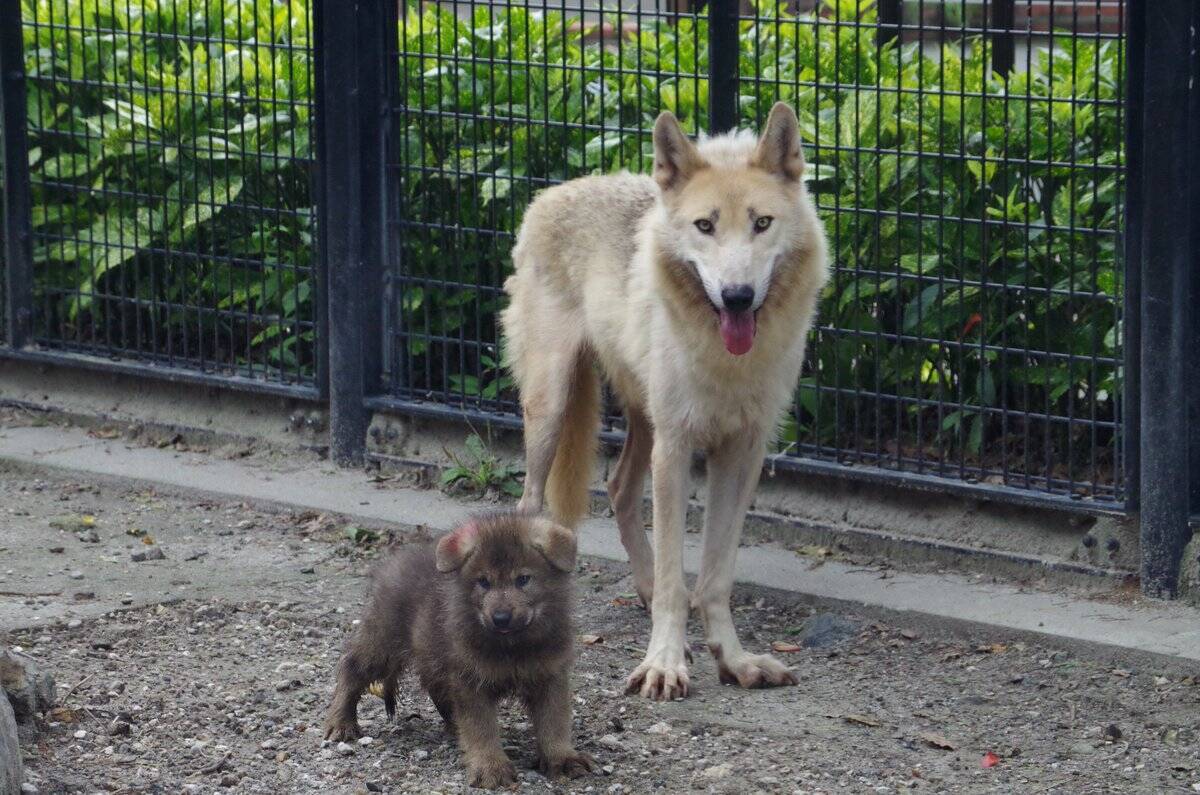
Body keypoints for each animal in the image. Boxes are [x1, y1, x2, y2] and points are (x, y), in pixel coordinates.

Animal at [324, 513, 595, 787]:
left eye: (523, 579)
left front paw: (561, 758)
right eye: (483, 582)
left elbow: (554, 723)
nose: (501, 618)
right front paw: (490, 767)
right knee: (351, 666)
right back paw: (341, 722)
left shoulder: (550, 676)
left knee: (436, 688)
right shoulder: (471, 680)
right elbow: (481, 728)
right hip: (384, 644)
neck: (512, 647)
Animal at [501, 102, 830, 701]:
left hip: (643, 420)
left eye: (762, 223)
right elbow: (681, 575)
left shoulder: (741, 453)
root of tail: (552, 192)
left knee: (617, 488)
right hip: (553, 408)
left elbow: (714, 575)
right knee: (529, 506)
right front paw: (664, 664)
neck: (728, 361)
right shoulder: (676, 449)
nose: (738, 297)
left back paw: (647, 588)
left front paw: (733, 659)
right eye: (705, 226)